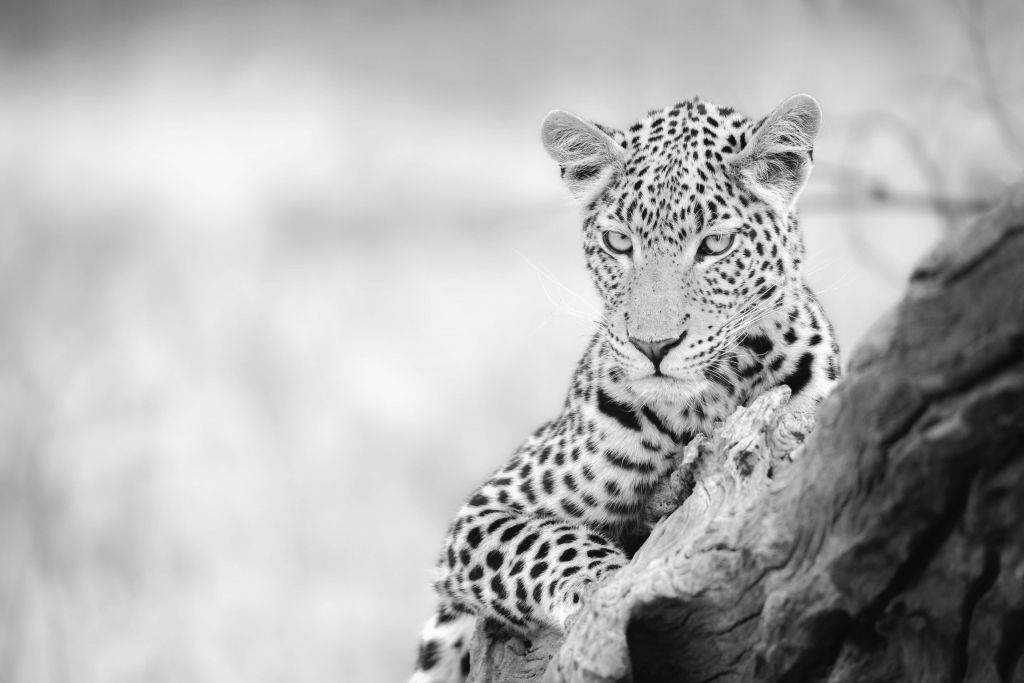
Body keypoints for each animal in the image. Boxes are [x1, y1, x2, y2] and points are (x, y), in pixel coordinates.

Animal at [407, 93, 839, 679]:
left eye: (716, 245)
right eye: (618, 242)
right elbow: (542, 540)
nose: (653, 346)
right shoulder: (487, 510)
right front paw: (600, 587)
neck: (710, 404)